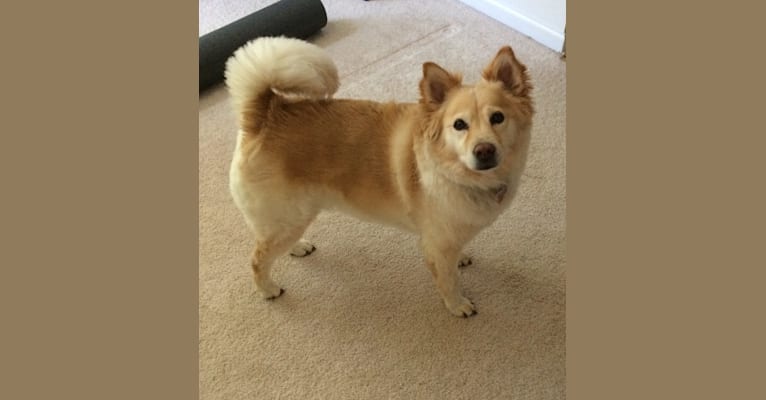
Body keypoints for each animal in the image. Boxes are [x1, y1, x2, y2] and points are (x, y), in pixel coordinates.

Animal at [222, 37, 536, 318]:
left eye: (497, 118)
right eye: (460, 125)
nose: (484, 150)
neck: (456, 173)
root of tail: (265, 114)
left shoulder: (449, 235)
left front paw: (462, 258)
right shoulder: (436, 244)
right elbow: (448, 281)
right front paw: (457, 305)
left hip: (291, 219)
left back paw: (297, 248)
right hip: (286, 218)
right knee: (258, 258)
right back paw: (267, 289)